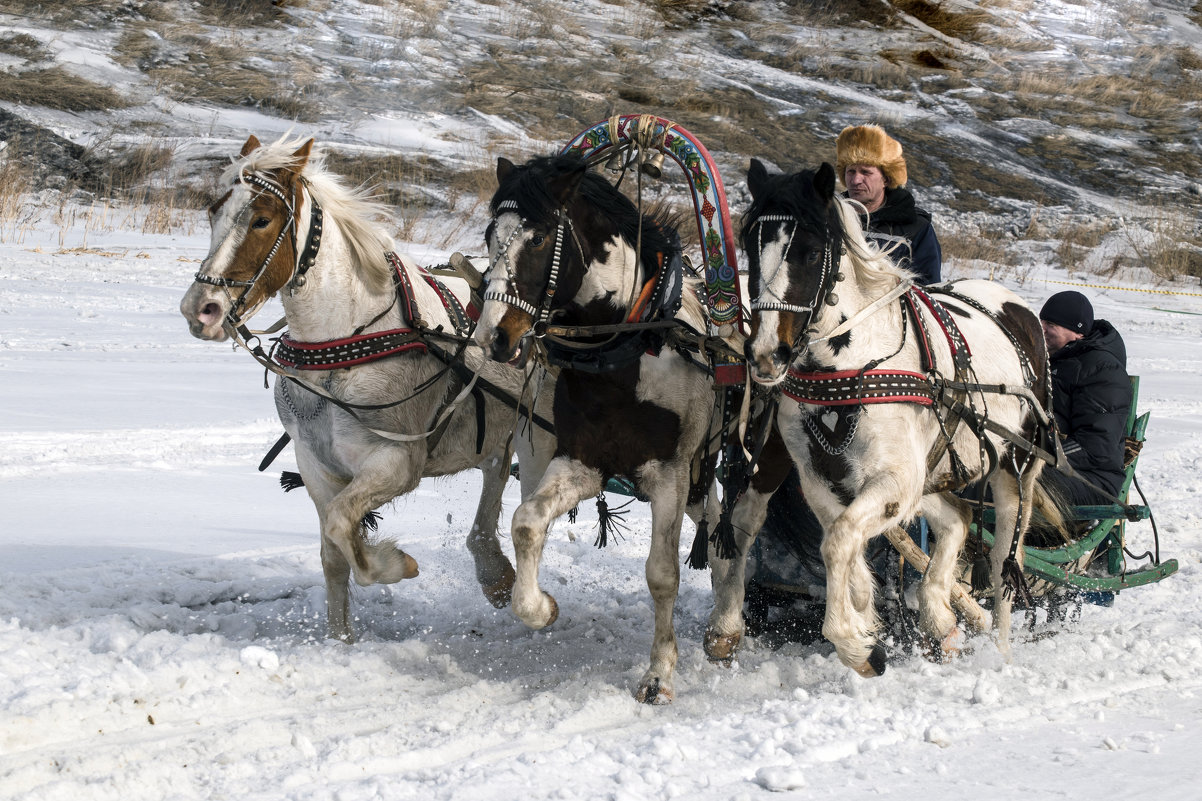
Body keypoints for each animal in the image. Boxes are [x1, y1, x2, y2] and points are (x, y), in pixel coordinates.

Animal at [180, 134, 555, 639]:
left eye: (261, 219)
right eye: (212, 211)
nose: (200, 309)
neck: (340, 347)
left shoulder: (395, 462)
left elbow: (343, 526)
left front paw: (396, 564)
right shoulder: (317, 465)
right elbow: (333, 555)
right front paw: (340, 641)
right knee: (493, 478)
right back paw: (494, 575)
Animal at [475, 152, 735, 702]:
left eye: (537, 238)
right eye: (490, 234)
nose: (493, 337)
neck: (625, 350)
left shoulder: (668, 474)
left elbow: (662, 575)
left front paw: (658, 675)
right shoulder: (582, 462)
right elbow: (526, 523)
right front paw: (540, 607)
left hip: (703, 470)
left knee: (734, 532)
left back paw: (727, 627)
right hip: (694, 480)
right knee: (719, 530)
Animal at [730, 158, 1052, 668]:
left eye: (810, 252)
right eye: (750, 246)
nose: (765, 355)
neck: (851, 362)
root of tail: (1019, 309)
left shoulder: (893, 479)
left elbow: (839, 540)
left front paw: (853, 644)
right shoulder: (824, 479)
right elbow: (843, 546)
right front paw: (867, 621)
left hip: (1013, 469)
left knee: (1006, 565)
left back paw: (1000, 649)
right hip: (931, 471)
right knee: (957, 517)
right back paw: (939, 612)